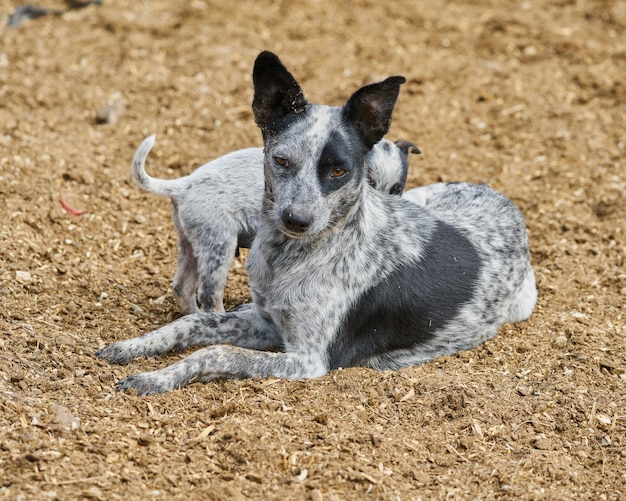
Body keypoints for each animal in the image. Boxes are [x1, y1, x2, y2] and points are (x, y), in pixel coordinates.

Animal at [130, 133, 420, 312]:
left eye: (397, 189)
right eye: (368, 182)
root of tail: (183, 185)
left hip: (191, 245)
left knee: (182, 287)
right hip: (219, 246)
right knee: (209, 294)